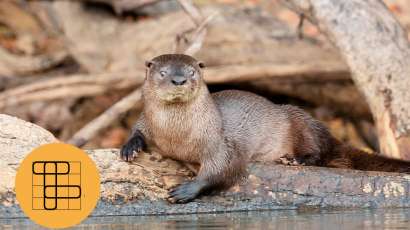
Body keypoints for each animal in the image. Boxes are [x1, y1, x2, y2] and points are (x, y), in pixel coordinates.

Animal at [121, 53, 410, 203]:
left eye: (192, 71)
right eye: (163, 72)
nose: (179, 80)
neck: (176, 135)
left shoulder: (219, 142)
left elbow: (225, 167)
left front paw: (187, 190)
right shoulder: (146, 120)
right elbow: (137, 129)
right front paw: (129, 148)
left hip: (298, 119)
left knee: (319, 151)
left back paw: (295, 160)